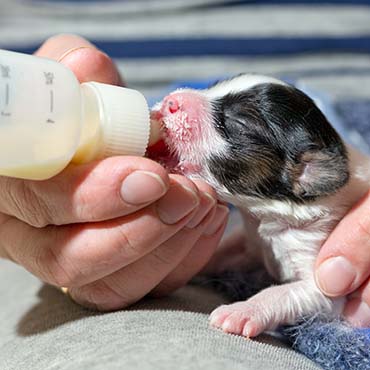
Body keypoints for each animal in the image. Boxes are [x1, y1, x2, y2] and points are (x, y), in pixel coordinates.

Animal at [150, 74, 370, 338]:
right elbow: (225, 251)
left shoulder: (327, 283)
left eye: (239, 123)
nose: (170, 101)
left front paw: (241, 311)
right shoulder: (251, 242)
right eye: (214, 86)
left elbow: (282, 292)